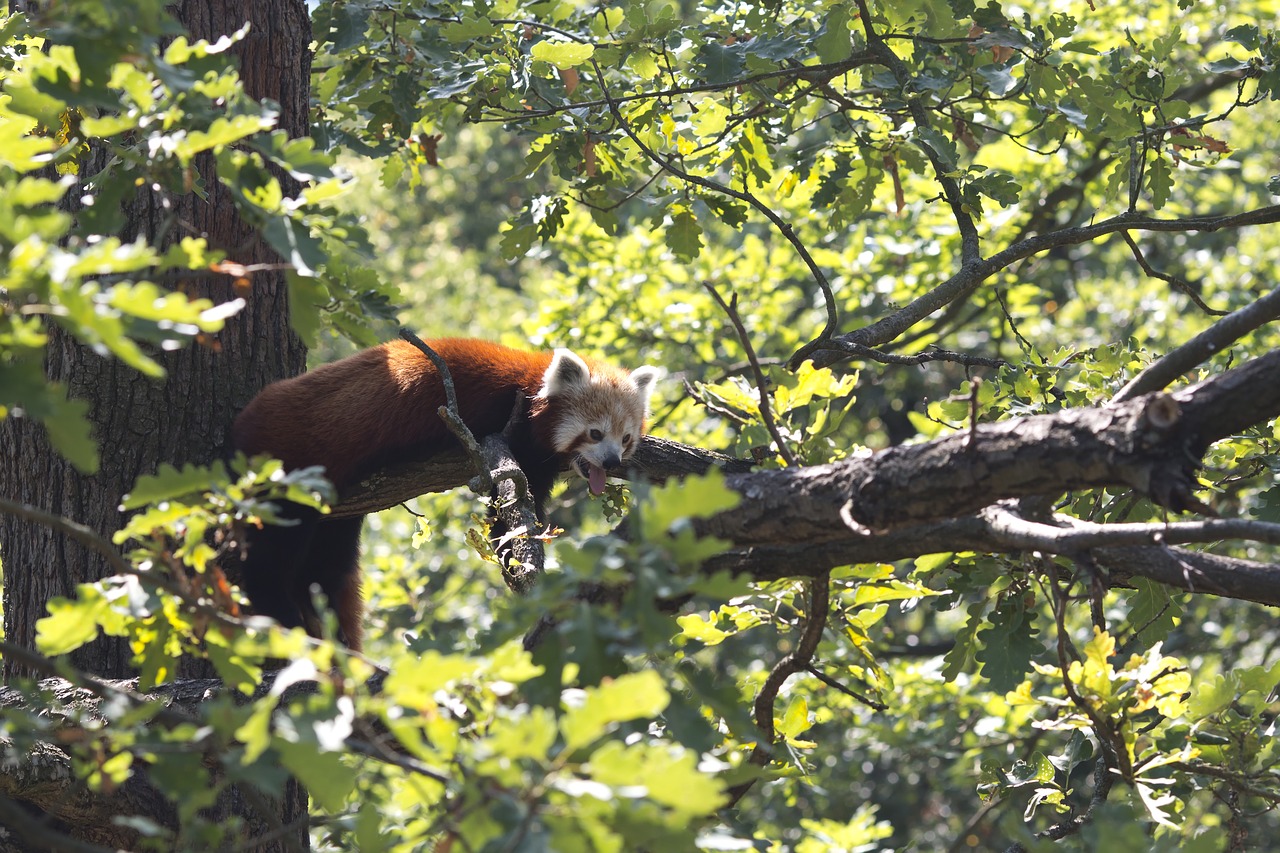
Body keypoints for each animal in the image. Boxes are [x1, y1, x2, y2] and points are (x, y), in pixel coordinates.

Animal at [229, 335, 660, 648]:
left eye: (625, 438)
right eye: (595, 433)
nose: (611, 461)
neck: (530, 385)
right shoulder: (500, 432)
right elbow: (506, 507)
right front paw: (515, 554)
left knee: (327, 564)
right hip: (287, 469)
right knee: (273, 551)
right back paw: (276, 612)